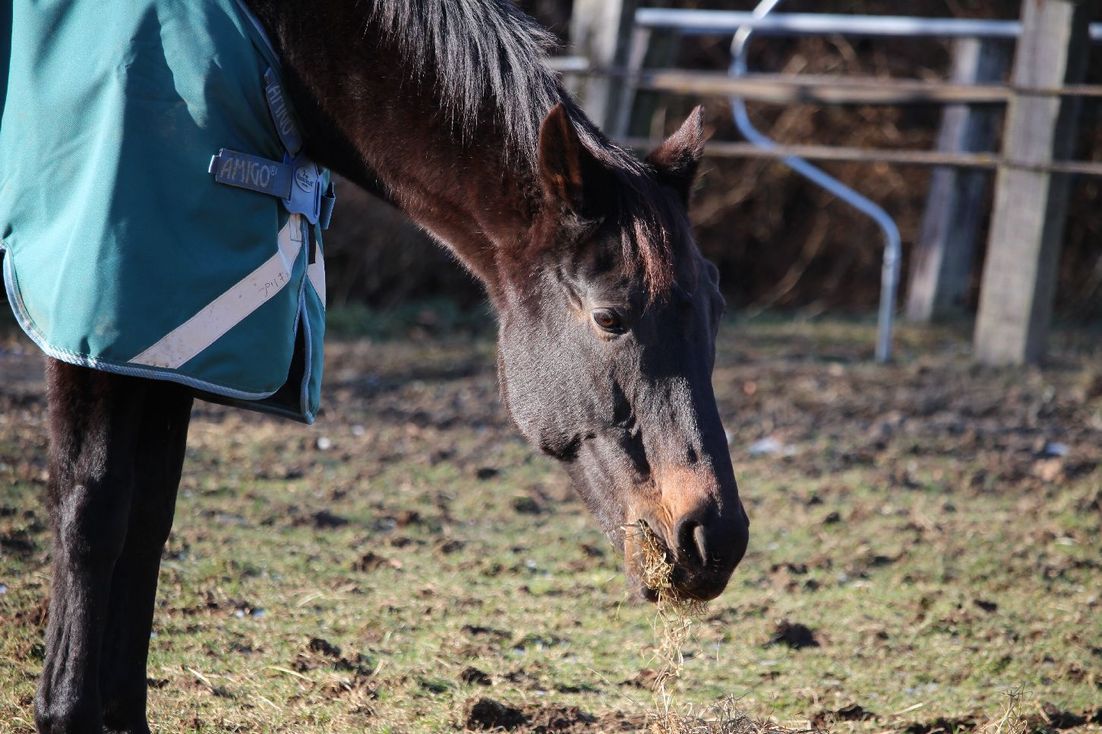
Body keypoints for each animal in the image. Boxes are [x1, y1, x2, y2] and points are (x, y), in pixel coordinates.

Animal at [0, 2, 749, 727]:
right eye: (609, 317)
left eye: (717, 305)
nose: (716, 538)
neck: (274, 42)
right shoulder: (99, 324)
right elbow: (92, 509)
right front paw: (64, 710)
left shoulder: (172, 346)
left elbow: (148, 522)